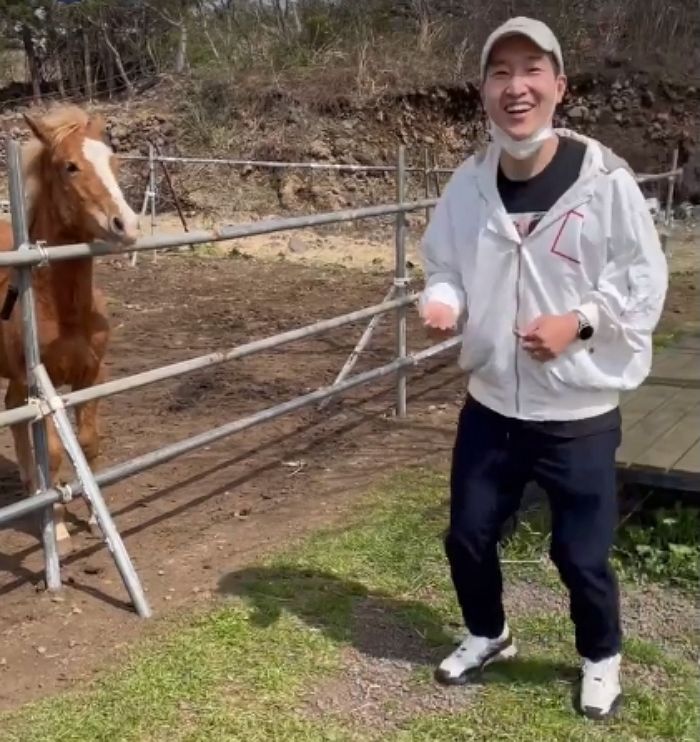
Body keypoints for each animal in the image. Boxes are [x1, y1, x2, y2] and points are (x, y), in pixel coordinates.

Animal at [0, 107, 139, 556]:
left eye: (113, 161)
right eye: (70, 166)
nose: (127, 225)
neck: (64, 309)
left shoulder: (92, 374)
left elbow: (89, 443)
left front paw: (96, 517)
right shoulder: (41, 387)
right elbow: (58, 452)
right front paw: (57, 527)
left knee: (13, 414)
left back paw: (30, 485)